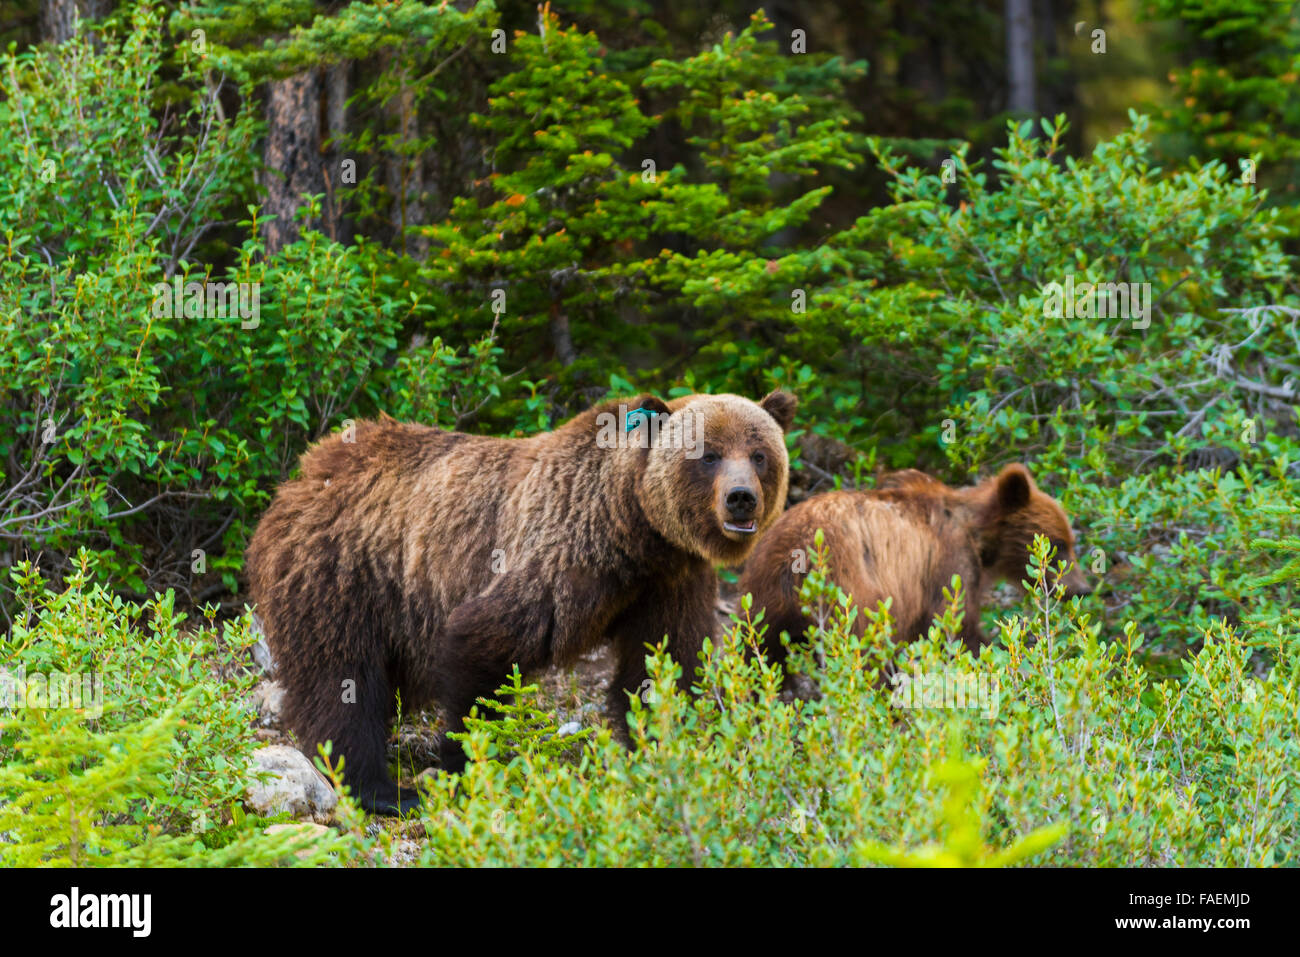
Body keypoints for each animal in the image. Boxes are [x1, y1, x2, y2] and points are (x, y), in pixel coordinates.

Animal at [244, 390, 790, 816]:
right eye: (709, 454)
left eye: (759, 453)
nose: (741, 498)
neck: (632, 529)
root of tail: (305, 471)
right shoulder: (558, 552)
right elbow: (483, 640)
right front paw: (465, 763)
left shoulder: (669, 581)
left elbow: (661, 666)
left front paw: (668, 749)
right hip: (344, 571)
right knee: (342, 678)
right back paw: (379, 789)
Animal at [738, 462, 1092, 670]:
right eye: (1058, 545)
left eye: (1070, 542)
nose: (1082, 588)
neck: (979, 539)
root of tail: (791, 559)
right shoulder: (948, 565)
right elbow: (955, 628)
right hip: (851, 593)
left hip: (761, 603)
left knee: (758, 655)